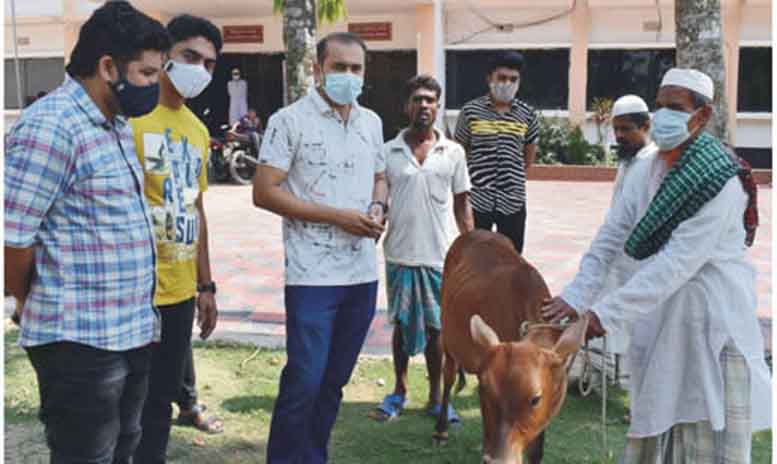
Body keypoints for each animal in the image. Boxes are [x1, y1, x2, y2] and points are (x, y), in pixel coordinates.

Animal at [436, 230, 588, 462]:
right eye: (485, 389)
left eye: (536, 399)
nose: (500, 460)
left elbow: (536, 450)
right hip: (447, 335)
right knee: (448, 376)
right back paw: (441, 429)